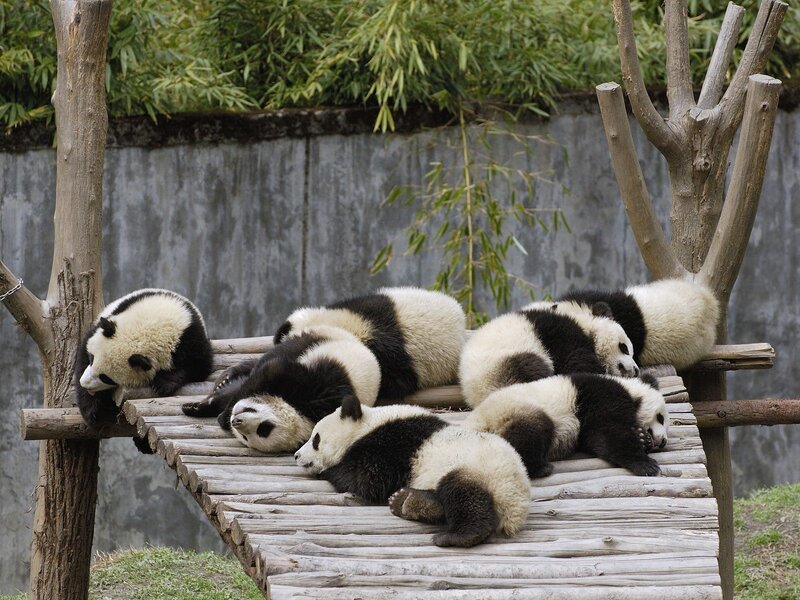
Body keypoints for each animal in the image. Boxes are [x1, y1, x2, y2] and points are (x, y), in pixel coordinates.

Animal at [75, 288, 213, 432]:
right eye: (92, 359)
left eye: (106, 378)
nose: (84, 383)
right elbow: (82, 356)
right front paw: (92, 411)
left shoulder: (190, 337)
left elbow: (199, 366)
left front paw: (163, 384)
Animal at [182, 327, 381, 453]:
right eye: (265, 427)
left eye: (261, 431)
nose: (236, 421)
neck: (302, 412)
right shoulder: (314, 386)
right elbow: (270, 370)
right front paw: (214, 411)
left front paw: (217, 413)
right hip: (316, 341)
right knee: (274, 355)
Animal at [294, 397, 530, 548]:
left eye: (316, 439)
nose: (296, 456)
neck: (367, 424)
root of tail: (516, 504)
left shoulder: (392, 445)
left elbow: (367, 479)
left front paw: (329, 470)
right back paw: (408, 502)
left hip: (477, 469)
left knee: (465, 495)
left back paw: (455, 536)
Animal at [459, 305, 639, 407]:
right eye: (624, 348)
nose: (636, 370)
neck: (585, 325)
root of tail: (475, 395)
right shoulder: (560, 333)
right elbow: (576, 361)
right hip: (501, 362)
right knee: (531, 369)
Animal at [465, 373, 668, 479]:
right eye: (660, 418)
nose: (664, 441)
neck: (630, 390)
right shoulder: (601, 397)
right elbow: (608, 433)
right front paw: (646, 465)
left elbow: (595, 440)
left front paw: (642, 439)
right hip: (511, 412)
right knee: (531, 432)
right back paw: (540, 468)